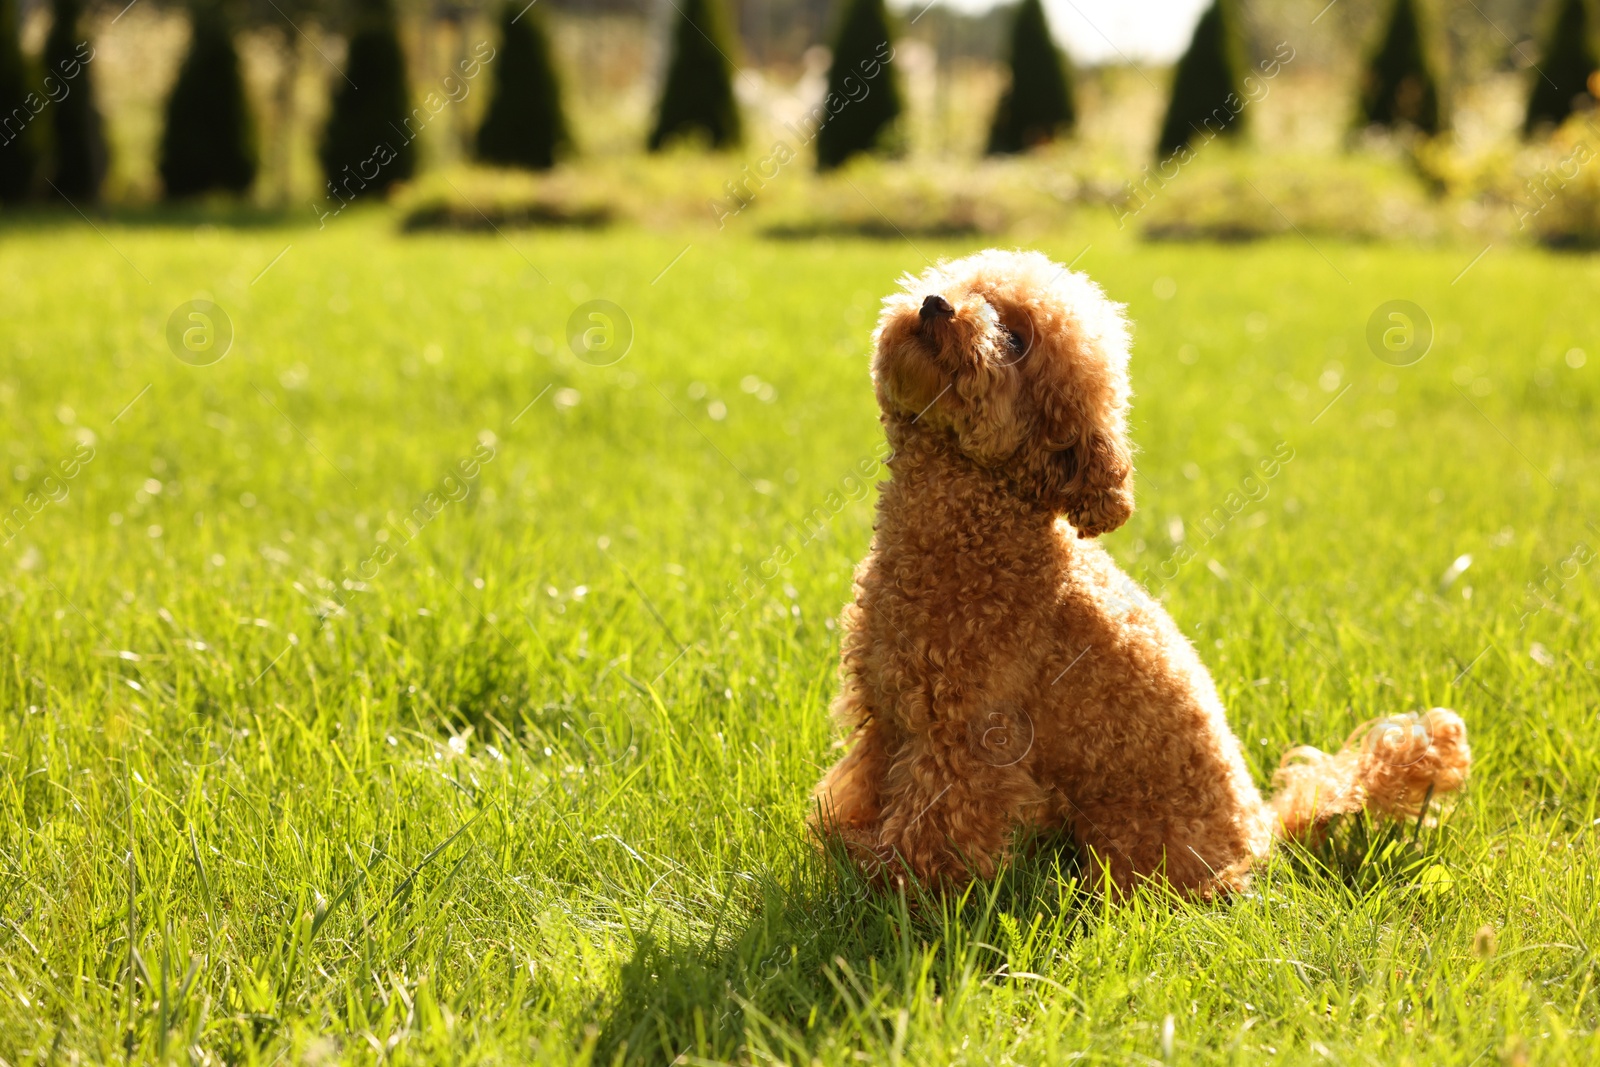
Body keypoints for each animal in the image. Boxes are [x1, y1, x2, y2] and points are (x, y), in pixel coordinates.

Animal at [812, 247, 1472, 895]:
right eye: (963, 285)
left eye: (1019, 339)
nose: (935, 304)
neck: (968, 534)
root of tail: (1262, 832)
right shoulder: (886, 715)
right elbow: (861, 787)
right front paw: (843, 845)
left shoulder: (969, 739)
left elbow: (934, 827)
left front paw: (895, 885)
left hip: (1136, 838)